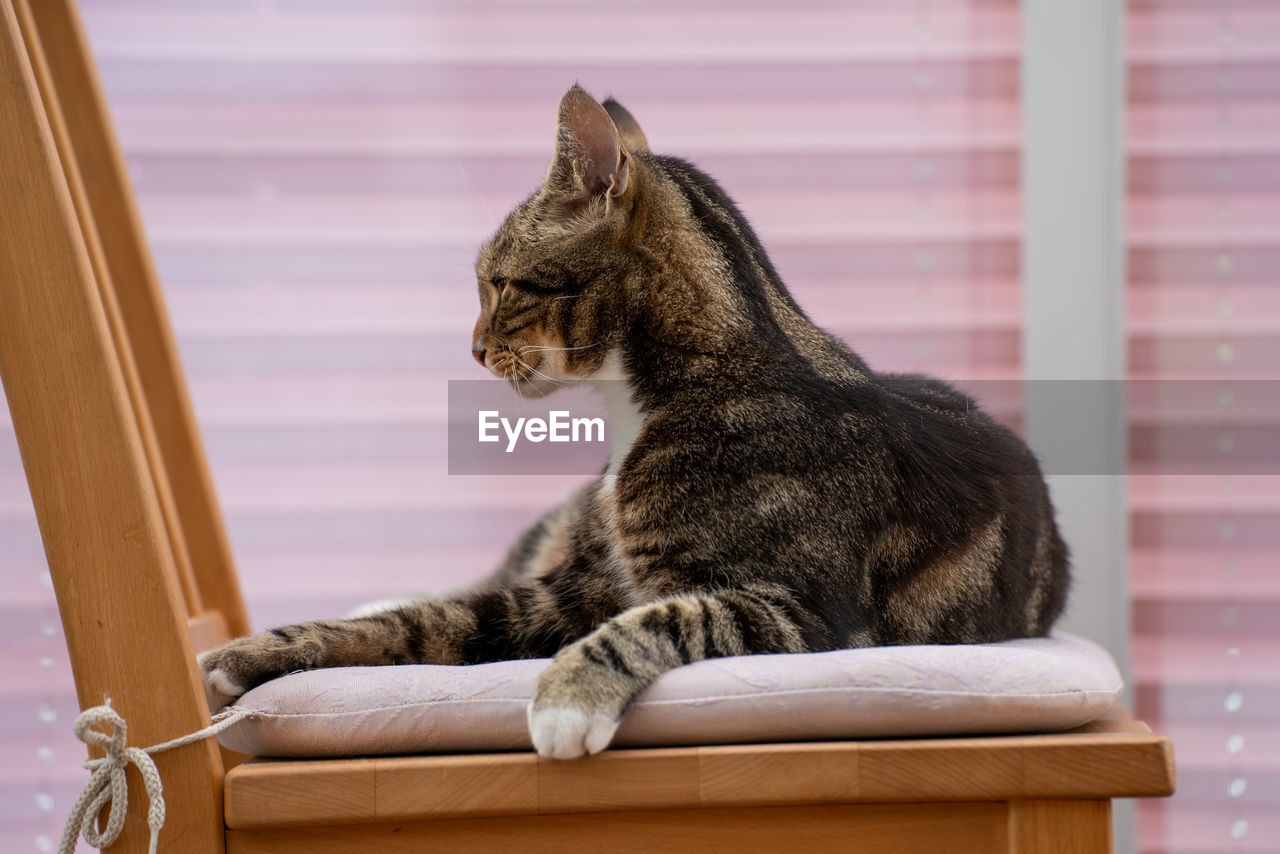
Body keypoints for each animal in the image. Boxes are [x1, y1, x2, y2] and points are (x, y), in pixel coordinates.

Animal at [199, 87, 1064, 763]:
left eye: (499, 284)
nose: (472, 349)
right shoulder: (569, 588)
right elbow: (431, 618)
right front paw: (251, 652)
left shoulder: (806, 612)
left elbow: (663, 615)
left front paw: (565, 696)